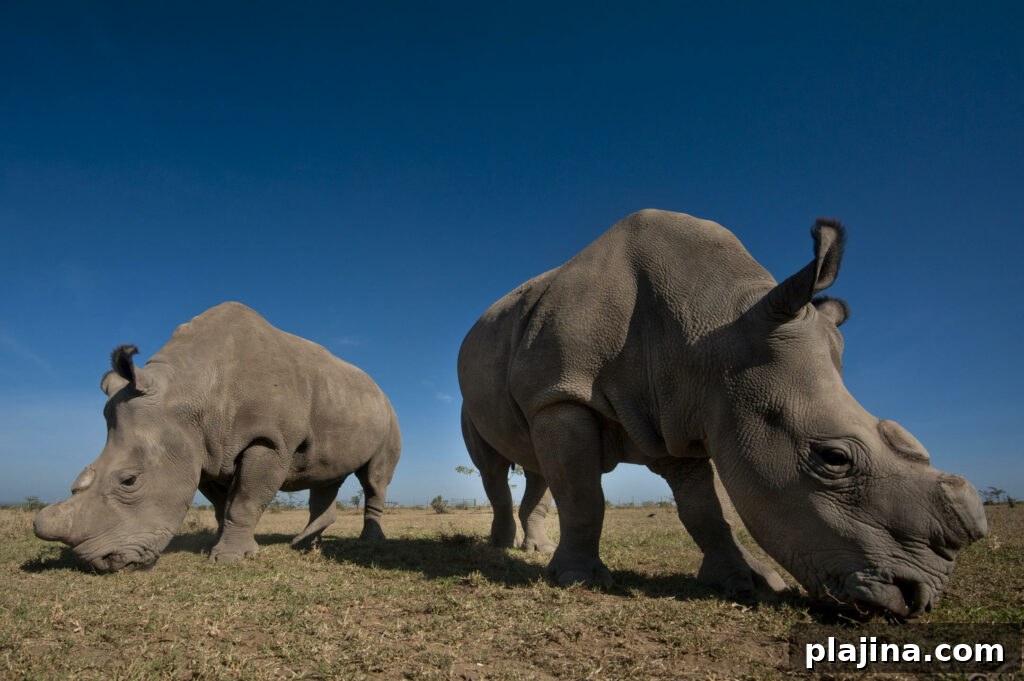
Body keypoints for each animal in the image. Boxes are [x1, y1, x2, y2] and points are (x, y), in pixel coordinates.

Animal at [34, 302, 401, 572]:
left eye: (130, 480)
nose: (99, 563)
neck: (189, 390)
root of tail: (378, 388)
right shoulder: (202, 450)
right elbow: (222, 505)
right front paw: (223, 546)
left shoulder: (268, 441)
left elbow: (245, 501)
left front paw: (229, 559)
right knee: (326, 476)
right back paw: (305, 545)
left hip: (388, 415)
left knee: (373, 479)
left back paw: (367, 542)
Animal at [458, 210, 986, 618]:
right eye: (833, 458)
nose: (918, 598)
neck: (715, 329)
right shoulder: (563, 395)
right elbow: (584, 496)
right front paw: (578, 580)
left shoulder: (680, 412)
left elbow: (705, 511)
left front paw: (749, 581)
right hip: (488, 395)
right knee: (495, 467)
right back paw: (500, 549)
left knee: (536, 466)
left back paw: (534, 550)